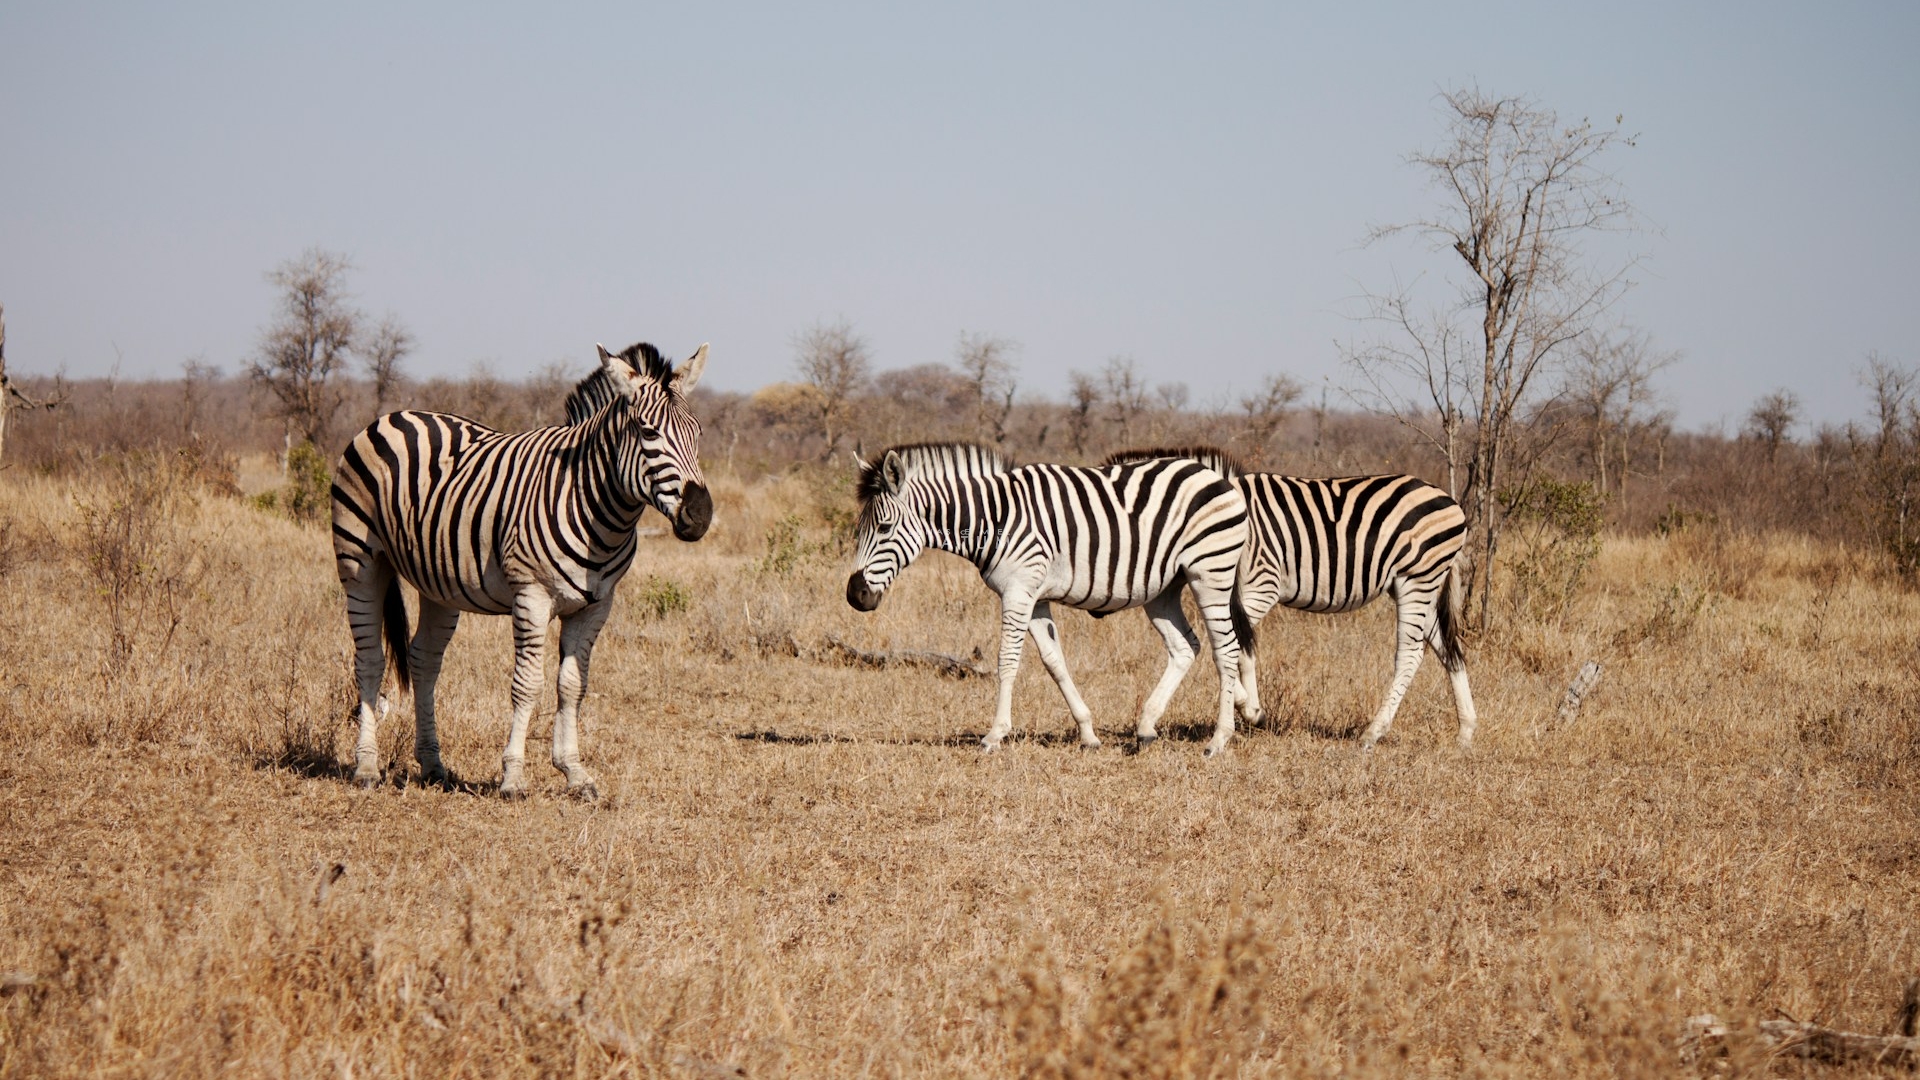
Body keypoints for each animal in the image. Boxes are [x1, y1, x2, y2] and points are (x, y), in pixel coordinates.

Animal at [330, 340, 714, 795]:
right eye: (648, 432)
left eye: (698, 434)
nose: (700, 515)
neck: (596, 508)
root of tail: (393, 416)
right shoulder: (532, 596)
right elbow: (528, 685)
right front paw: (513, 776)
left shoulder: (596, 605)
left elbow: (572, 685)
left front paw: (574, 771)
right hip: (360, 562)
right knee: (369, 659)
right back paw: (366, 768)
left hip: (437, 582)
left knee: (424, 661)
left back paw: (433, 765)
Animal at [840, 441, 1259, 753]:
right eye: (860, 528)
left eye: (884, 527)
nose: (855, 595)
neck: (995, 519)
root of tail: (1215, 476)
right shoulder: (1035, 596)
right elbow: (1054, 662)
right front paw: (1088, 734)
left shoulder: (1018, 591)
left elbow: (1007, 660)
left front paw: (995, 734)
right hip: (1163, 590)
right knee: (1186, 646)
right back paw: (1146, 727)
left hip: (1209, 573)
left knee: (1226, 650)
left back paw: (1219, 740)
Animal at [1105, 445, 1474, 749]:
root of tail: (1449, 500)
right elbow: (1244, 649)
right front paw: (1252, 709)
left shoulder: (1260, 585)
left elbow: (1237, 647)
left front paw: (1248, 709)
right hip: (1419, 584)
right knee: (1448, 649)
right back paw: (1466, 731)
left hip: (1417, 579)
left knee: (1410, 654)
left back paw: (1373, 732)